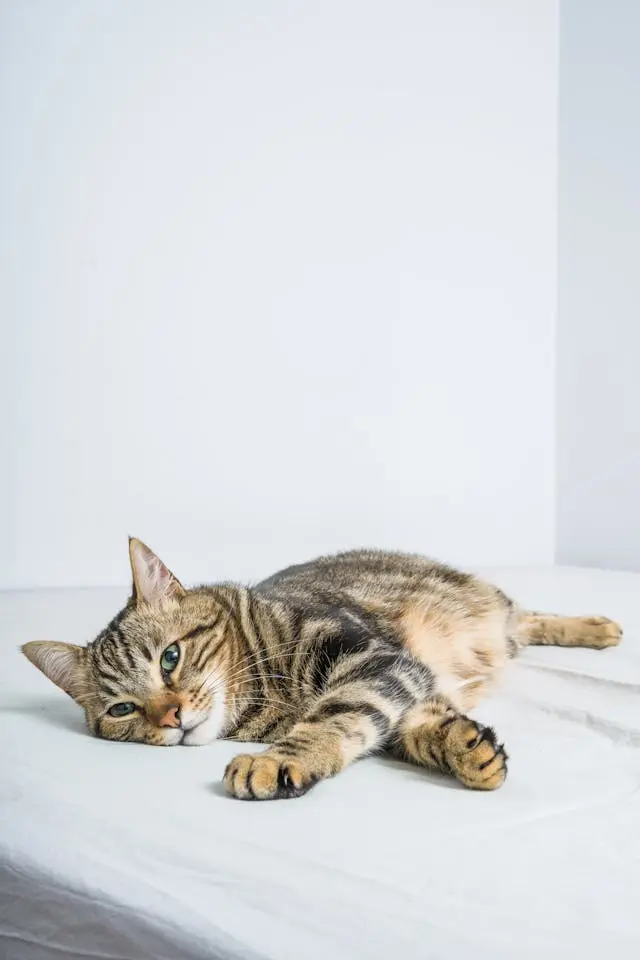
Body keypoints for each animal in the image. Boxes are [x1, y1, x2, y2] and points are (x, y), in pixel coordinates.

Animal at [22, 536, 624, 800]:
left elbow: (336, 715)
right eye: (123, 709)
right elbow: (411, 726)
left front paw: (277, 759)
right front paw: (464, 747)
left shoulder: (372, 658)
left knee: (527, 615)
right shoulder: (405, 682)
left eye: (170, 657)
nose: (170, 717)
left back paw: (597, 627)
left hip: (492, 607)